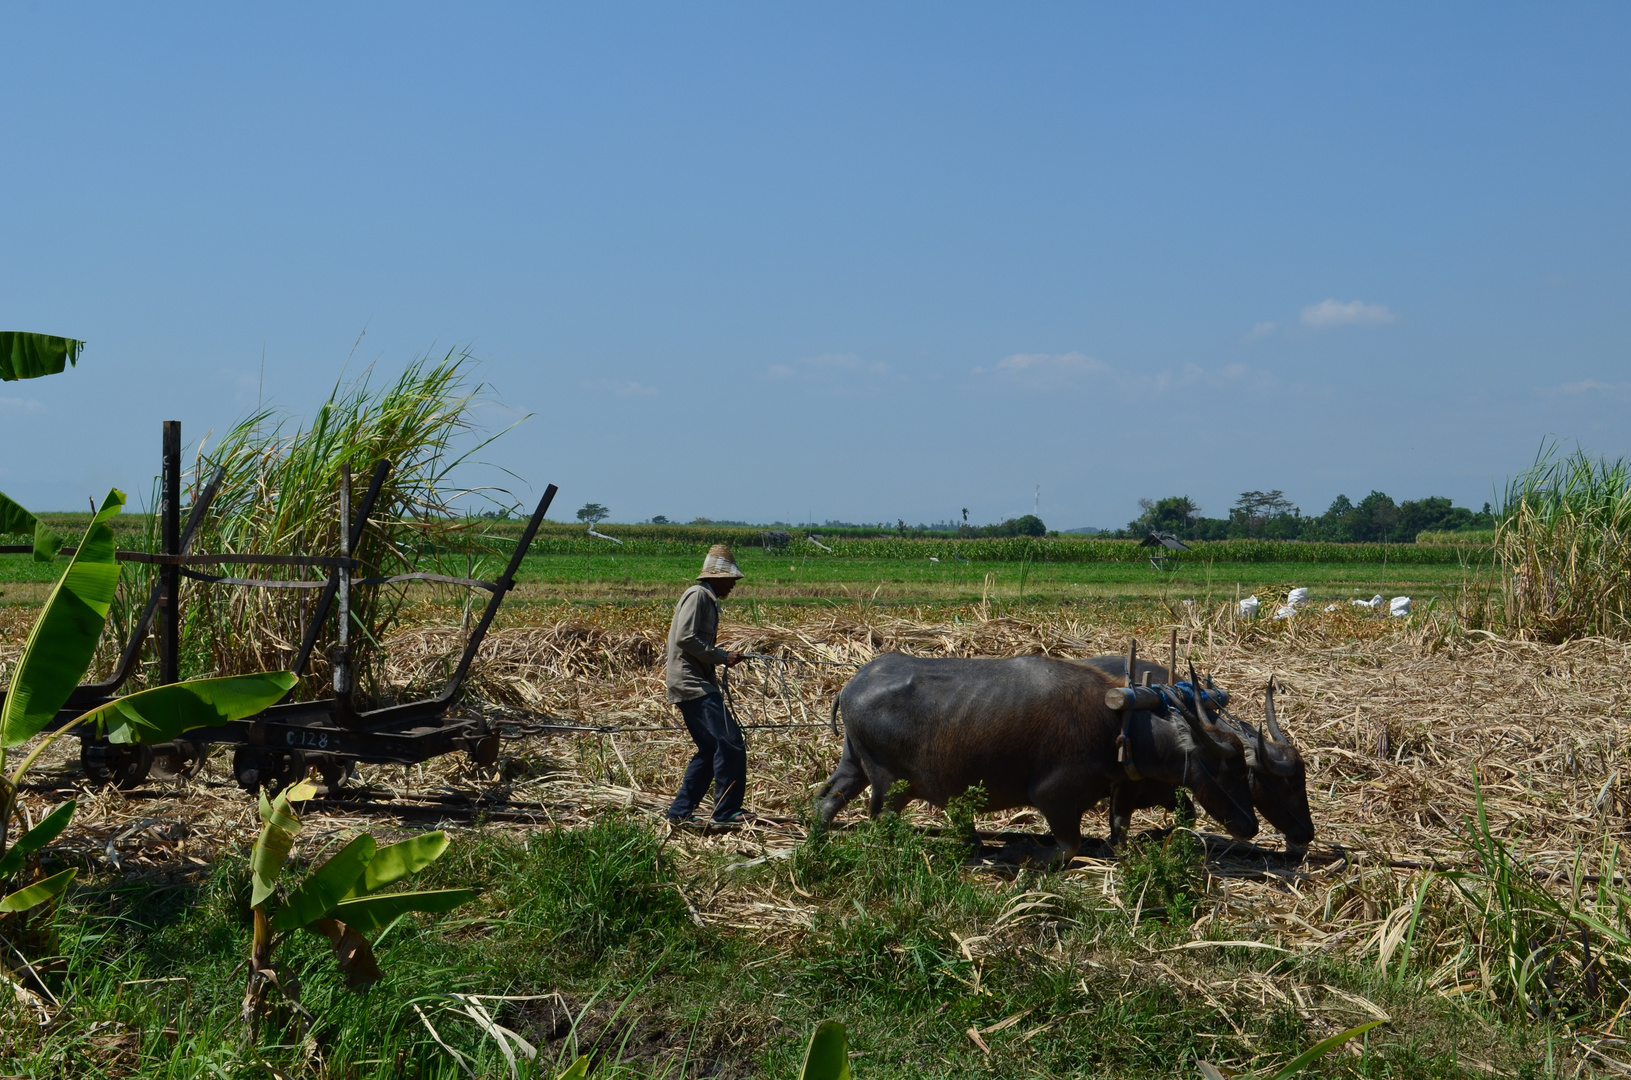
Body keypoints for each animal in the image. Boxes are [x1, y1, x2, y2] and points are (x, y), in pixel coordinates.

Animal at [815, 652, 1259, 861]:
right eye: (1231, 769)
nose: (1251, 826)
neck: (1119, 728)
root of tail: (852, 683)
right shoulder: (1053, 796)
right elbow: (1068, 844)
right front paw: (1020, 850)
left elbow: (1115, 830)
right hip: (890, 784)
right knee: (880, 819)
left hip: (853, 763)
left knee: (827, 798)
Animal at [1076, 655, 1317, 861]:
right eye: (1295, 785)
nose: (1308, 832)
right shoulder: (1127, 786)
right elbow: (1119, 827)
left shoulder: (1167, 788)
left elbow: (1189, 815)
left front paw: (1149, 835)